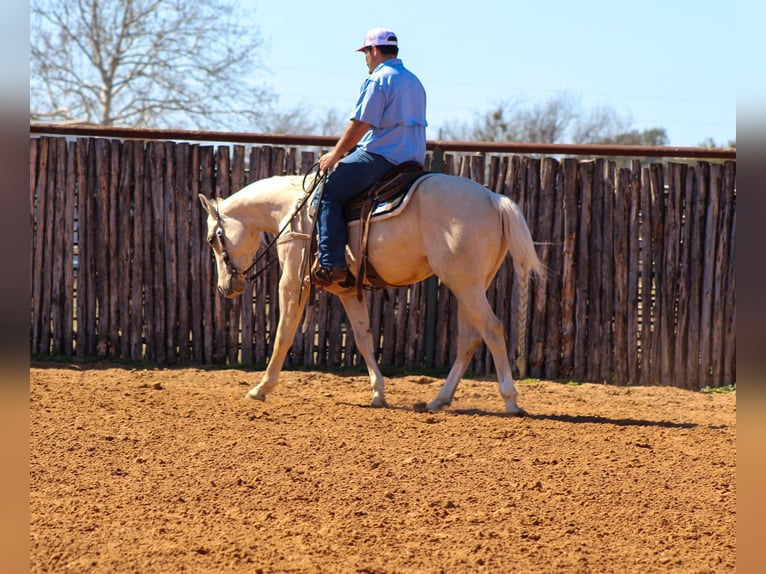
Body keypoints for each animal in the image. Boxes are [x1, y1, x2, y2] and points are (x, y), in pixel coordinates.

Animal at [198, 173, 544, 416]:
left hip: (465, 284)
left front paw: (261, 388)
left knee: (493, 329)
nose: (226, 287)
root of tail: (494, 199)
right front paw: (378, 393)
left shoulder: (294, 283)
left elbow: (283, 334)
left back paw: (510, 401)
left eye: (212, 240)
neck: (292, 211)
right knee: (469, 338)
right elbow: (364, 338)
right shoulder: (347, 290)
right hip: (469, 286)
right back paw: (438, 400)